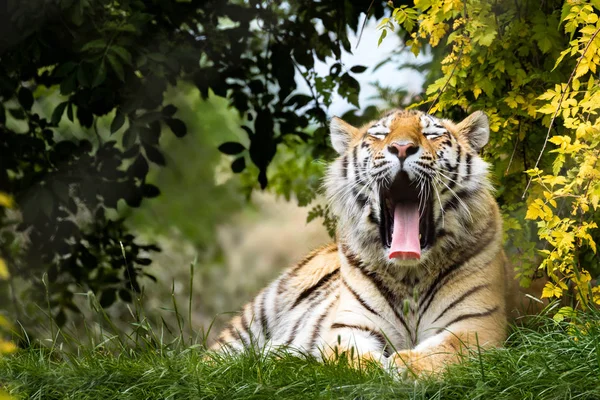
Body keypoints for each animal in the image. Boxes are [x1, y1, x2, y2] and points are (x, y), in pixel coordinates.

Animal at [212, 108, 516, 376]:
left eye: (430, 134)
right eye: (380, 135)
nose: (402, 148)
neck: (411, 274)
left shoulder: (475, 325)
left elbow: (444, 352)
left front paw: (403, 366)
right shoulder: (349, 326)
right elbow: (352, 360)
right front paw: (377, 371)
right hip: (255, 316)